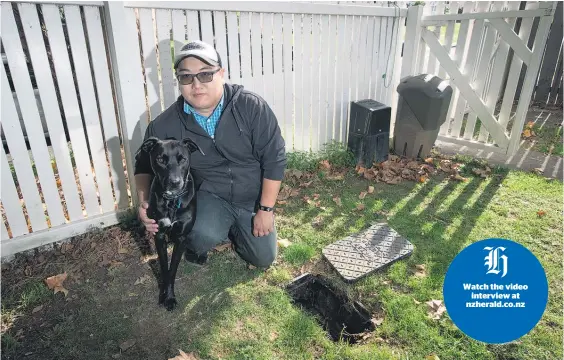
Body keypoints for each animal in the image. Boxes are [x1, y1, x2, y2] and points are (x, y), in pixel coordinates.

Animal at [135, 136, 205, 310]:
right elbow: (164, 268)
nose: (175, 182)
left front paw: (170, 297)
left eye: (183, 159)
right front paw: (164, 295)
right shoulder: (159, 234)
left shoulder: (181, 238)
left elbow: (172, 269)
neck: (172, 201)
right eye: (160, 159)